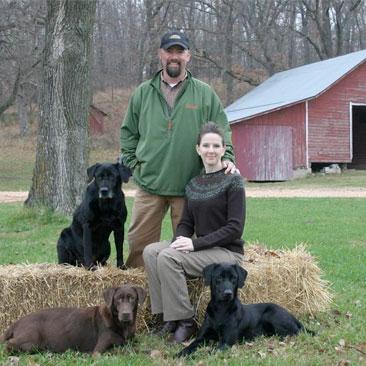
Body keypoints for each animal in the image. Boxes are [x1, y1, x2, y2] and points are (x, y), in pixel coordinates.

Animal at [177, 264, 312, 358]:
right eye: (219, 277)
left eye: (234, 278)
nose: (228, 293)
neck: (221, 309)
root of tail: (292, 315)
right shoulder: (201, 338)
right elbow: (190, 346)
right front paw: (181, 354)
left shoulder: (226, 342)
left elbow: (210, 351)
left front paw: (195, 356)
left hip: (273, 314)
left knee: (295, 332)